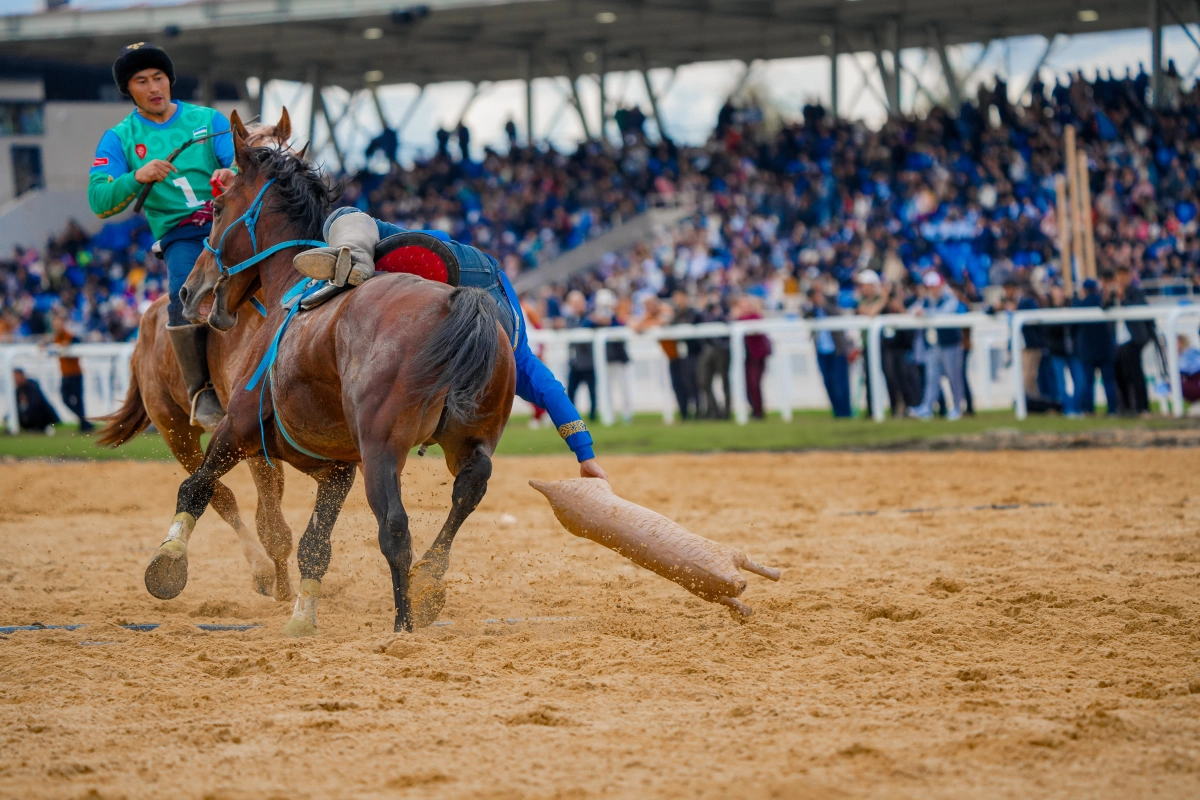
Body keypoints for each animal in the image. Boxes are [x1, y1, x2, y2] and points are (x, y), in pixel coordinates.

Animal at [99, 112, 304, 604]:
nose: (193, 291)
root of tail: (148, 317)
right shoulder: (248, 435)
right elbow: (269, 522)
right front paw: (282, 590)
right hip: (175, 430)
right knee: (223, 497)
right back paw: (259, 571)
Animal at [142, 115, 513, 633]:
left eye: (215, 206)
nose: (189, 289)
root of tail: (454, 304)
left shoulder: (237, 427)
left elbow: (196, 487)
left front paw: (169, 560)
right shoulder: (338, 469)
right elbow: (314, 546)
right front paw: (302, 618)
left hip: (382, 451)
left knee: (395, 529)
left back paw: (403, 627)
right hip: (470, 444)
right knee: (466, 495)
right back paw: (428, 583)